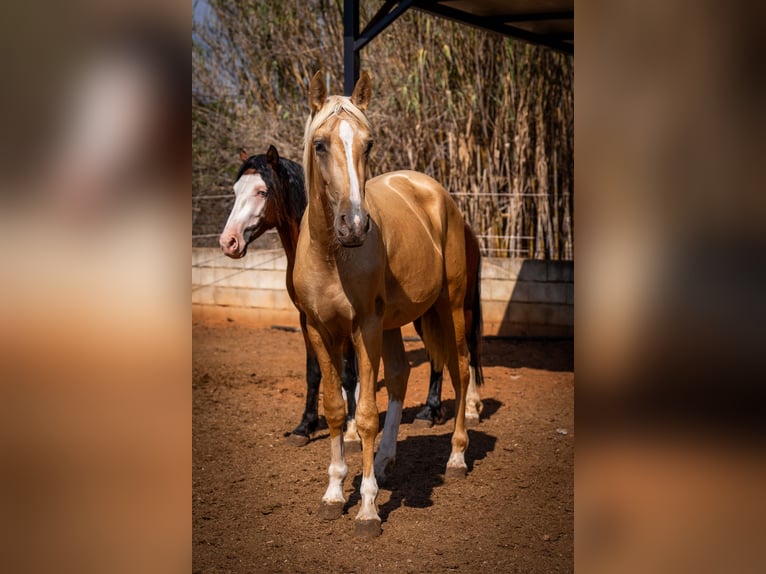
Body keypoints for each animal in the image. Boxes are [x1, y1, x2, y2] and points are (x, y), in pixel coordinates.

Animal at [218, 145, 486, 446]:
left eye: (262, 192)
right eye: (236, 190)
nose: (228, 242)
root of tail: (464, 227)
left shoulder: (349, 320)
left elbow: (348, 374)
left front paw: (351, 430)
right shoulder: (307, 318)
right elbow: (314, 372)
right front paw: (305, 427)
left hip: (457, 307)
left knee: (466, 352)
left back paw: (469, 409)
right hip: (426, 310)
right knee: (437, 354)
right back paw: (430, 411)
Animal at [294, 72, 474, 540]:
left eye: (368, 144)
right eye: (320, 144)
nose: (355, 226)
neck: (331, 255)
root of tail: (435, 192)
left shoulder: (365, 327)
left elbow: (365, 415)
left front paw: (368, 509)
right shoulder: (319, 330)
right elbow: (336, 408)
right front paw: (334, 493)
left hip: (448, 308)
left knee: (461, 371)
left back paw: (456, 457)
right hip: (395, 324)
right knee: (399, 376)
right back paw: (387, 459)